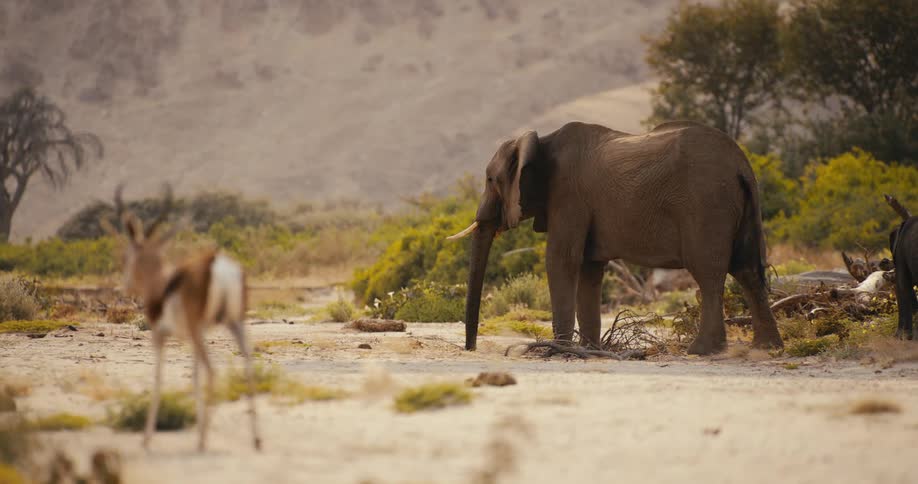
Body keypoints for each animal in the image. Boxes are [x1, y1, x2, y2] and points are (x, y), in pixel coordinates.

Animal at [102, 185, 261, 452]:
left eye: (126, 257)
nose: (125, 286)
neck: (161, 286)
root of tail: (217, 263)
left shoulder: (160, 335)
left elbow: (158, 377)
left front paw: (147, 439)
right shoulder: (194, 337)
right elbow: (194, 375)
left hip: (200, 331)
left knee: (212, 371)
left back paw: (204, 440)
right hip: (233, 323)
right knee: (248, 362)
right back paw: (255, 440)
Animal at [448, 121, 784, 355]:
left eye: (490, 179)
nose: (471, 348)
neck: (541, 142)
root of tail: (743, 165)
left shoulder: (568, 196)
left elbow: (561, 259)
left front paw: (559, 349)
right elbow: (589, 269)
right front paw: (589, 349)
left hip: (707, 205)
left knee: (709, 274)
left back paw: (702, 351)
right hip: (739, 205)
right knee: (747, 270)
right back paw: (766, 349)